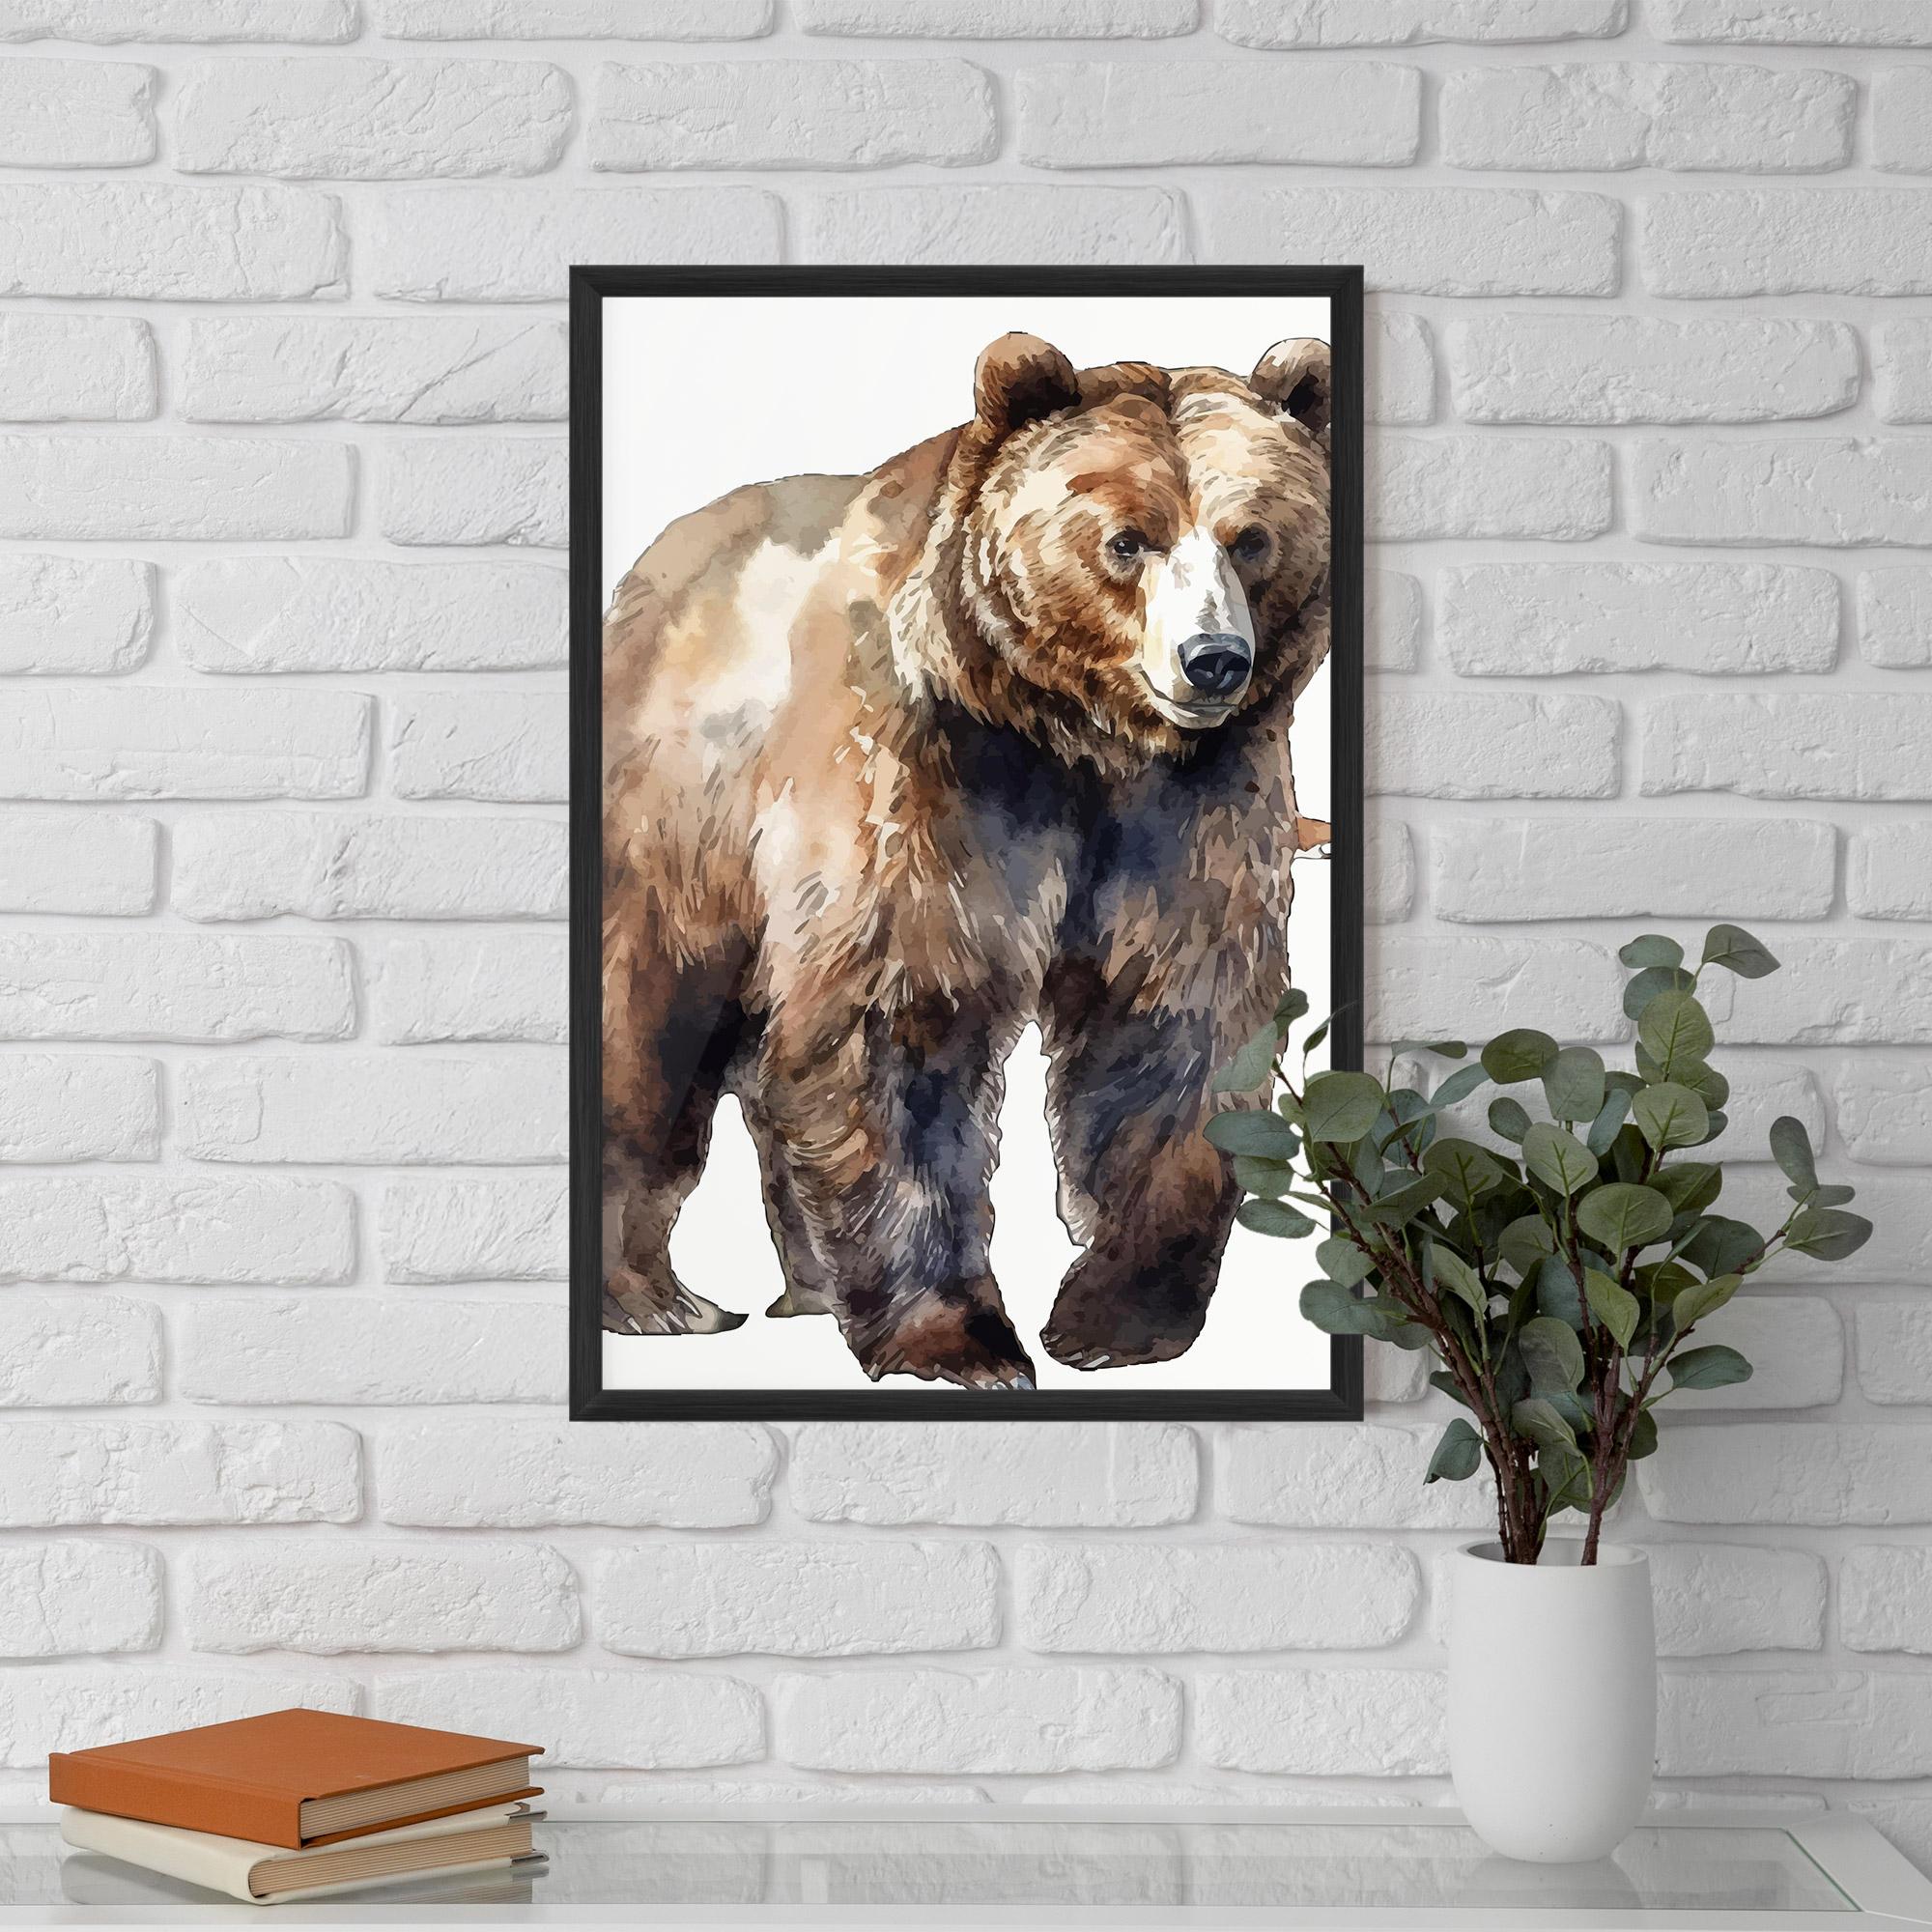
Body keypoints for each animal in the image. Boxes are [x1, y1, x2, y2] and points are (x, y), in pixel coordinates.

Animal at [600, 331, 1333, 1388]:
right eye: (1129, 539)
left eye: (1250, 538)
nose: (1213, 661)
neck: (1080, 737)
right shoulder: (928, 775)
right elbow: (901, 1023)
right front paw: (960, 1341)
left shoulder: (1190, 810)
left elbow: (1173, 1023)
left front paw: (1116, 1316)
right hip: (679, 824)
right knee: (651, 1028)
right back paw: (657, 1298)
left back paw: (807, 1285)